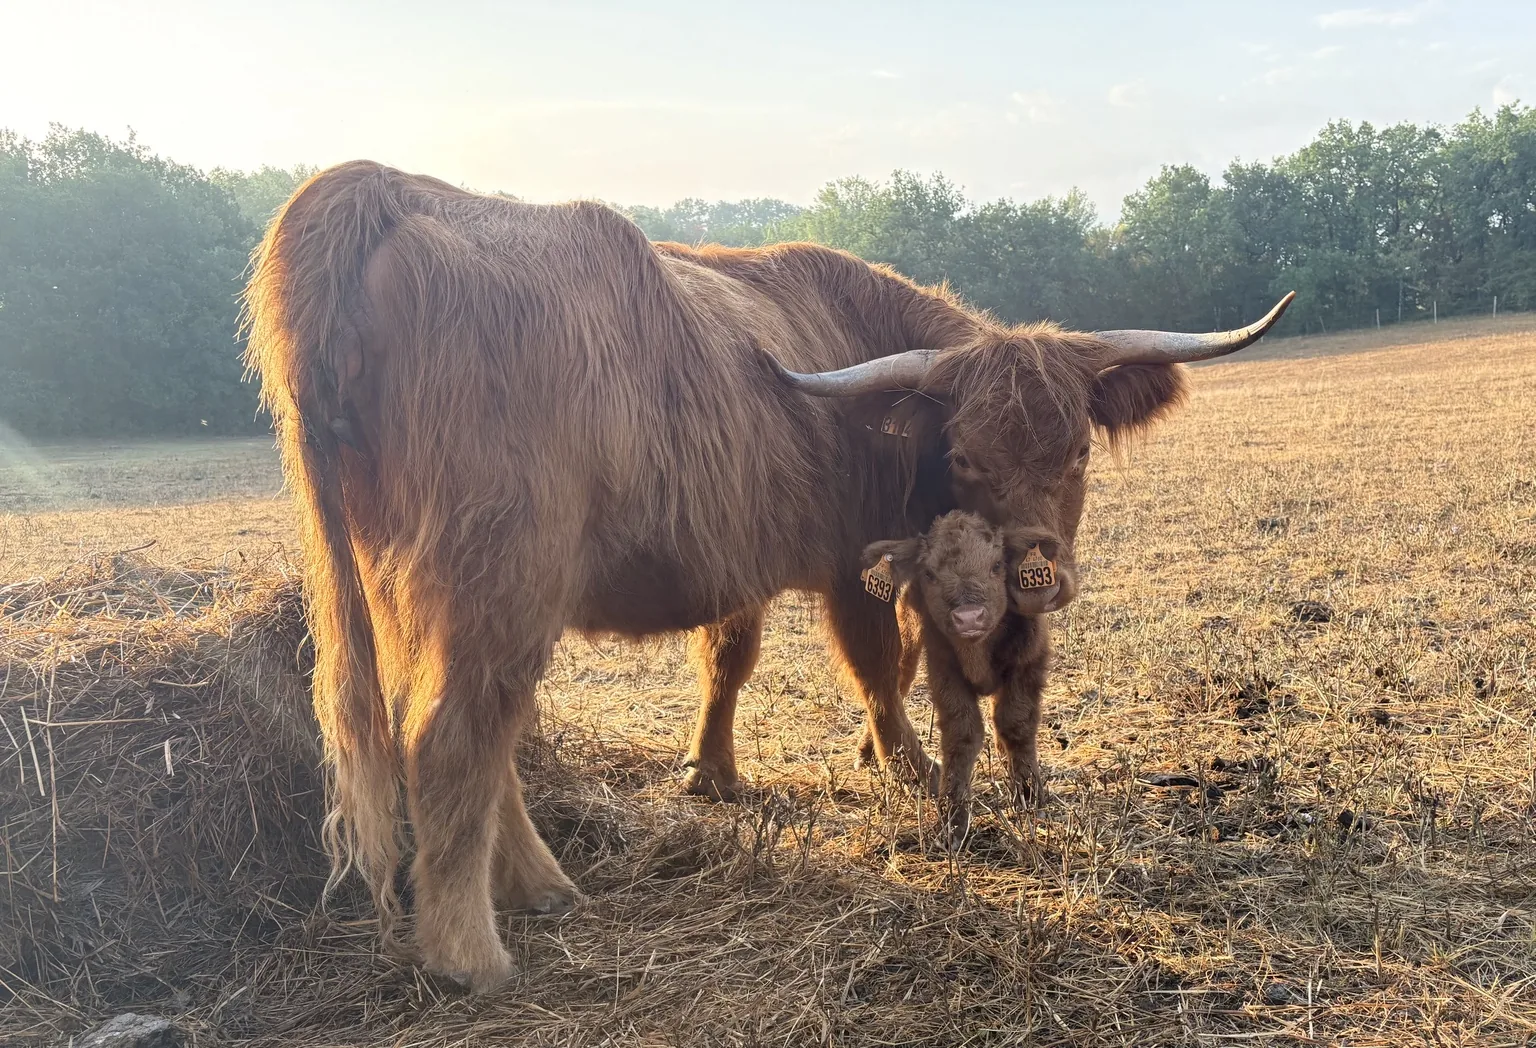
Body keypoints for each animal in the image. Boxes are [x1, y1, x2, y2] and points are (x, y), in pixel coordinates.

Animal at [862, 511, 1053, 845]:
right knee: (895, 683)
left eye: (997, 565)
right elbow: (962, 733)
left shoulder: (1031, 659)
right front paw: (953, 821)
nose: (969, 617)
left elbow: (1016, 723)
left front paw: (1029, 798)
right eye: (929, 573)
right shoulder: (944, 670)